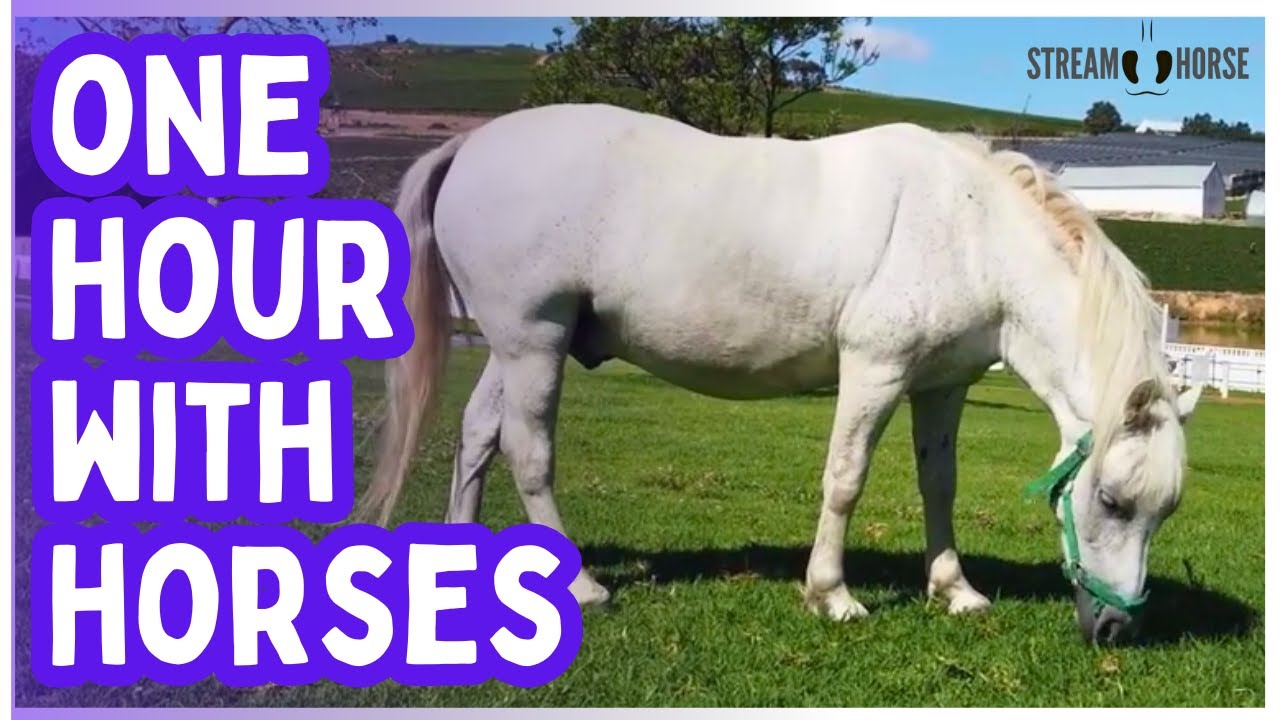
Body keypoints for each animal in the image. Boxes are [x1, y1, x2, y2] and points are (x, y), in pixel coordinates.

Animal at [360, 103, 1203, 645]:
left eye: (1164, 513)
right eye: (1111, 501)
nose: (1117, 627)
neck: (969, 228)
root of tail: (469, 146)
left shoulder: (940, 385)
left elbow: (939, 484)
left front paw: (953, 589)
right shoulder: (875, 370)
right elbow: (846, 478)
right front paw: (831, 595)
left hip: (519, 345)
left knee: (478, 436)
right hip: (533, 341)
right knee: (529, 452)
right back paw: (580, 587)